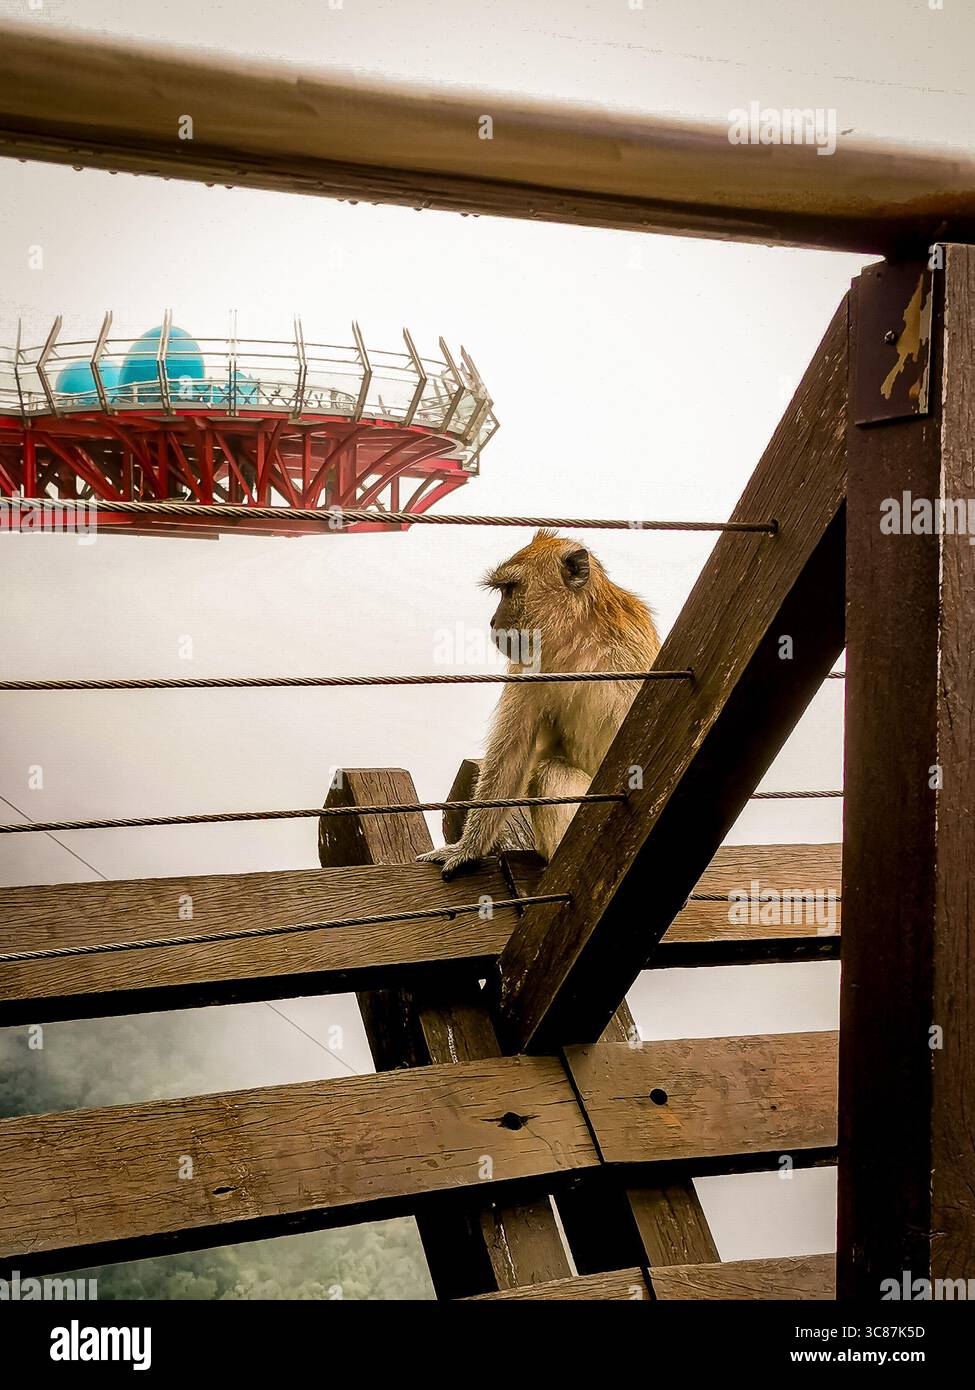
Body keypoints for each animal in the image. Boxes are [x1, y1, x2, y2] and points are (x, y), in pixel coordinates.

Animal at [418, 529, 660, 880]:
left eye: (510, 589)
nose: (493, 621)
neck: (576, 637)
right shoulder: (529, 666)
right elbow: (512, 752)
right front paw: (469, 849)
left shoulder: (629, 652)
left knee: (551, 771)